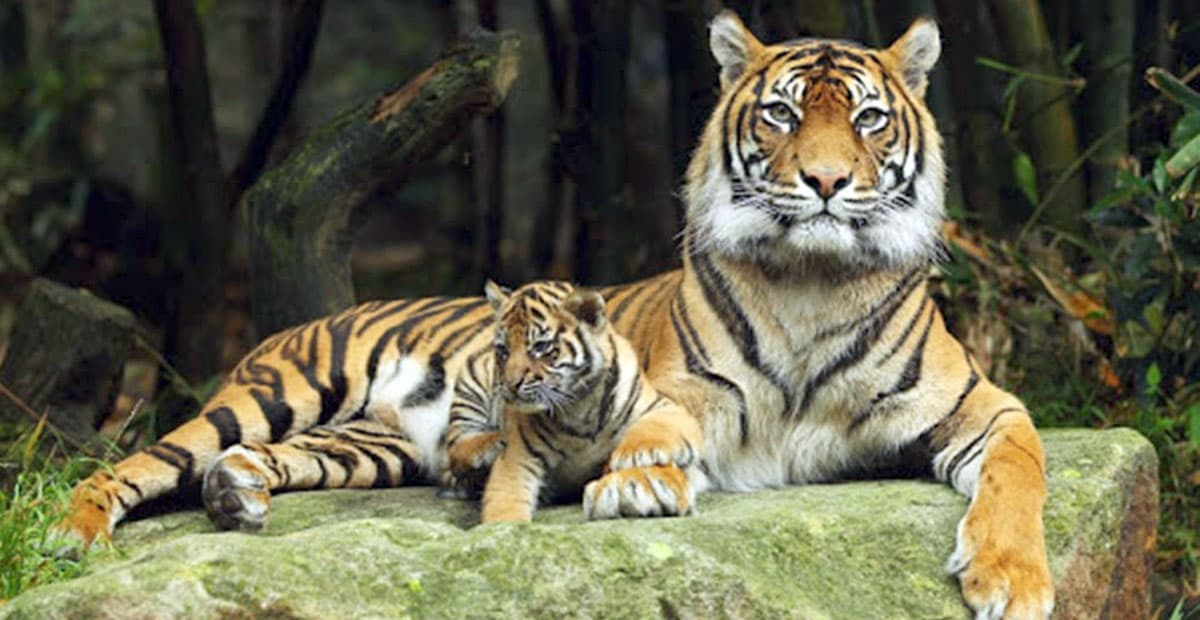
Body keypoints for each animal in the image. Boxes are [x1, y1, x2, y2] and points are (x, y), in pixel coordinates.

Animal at [440, 280, 701, 523]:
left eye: (541, 346)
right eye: (503, 350)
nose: (511, 385)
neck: (580, 406)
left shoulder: (665, 406)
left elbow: (658, 425)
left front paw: (634, 454)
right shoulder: (518, 457)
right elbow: (506, 503)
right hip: (472, 381)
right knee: (454, 448)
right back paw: (491, 444)